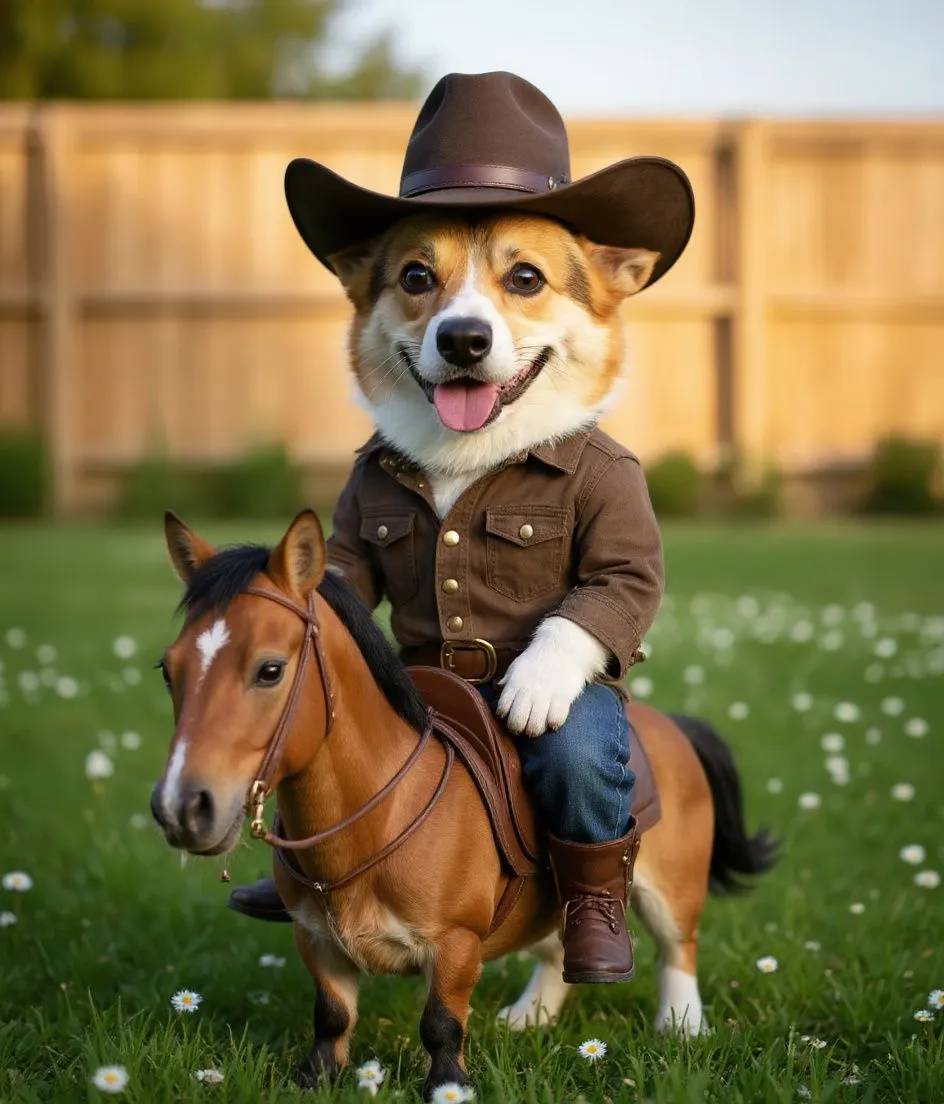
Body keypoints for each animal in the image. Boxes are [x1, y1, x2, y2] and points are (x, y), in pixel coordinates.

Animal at [151, 509, 775, 1099]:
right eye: (167, 669)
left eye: (270, 669)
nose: (181, 808)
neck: (381, 813)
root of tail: (672, 723)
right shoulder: (316, 940)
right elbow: (331, 1017)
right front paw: (314, 1079)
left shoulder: (455, 945)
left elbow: (441, 1025)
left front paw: (448, 1088)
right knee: (557, 951)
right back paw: (529, 1017)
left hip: (672, 886)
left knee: (677, 949)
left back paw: (681, 1027)